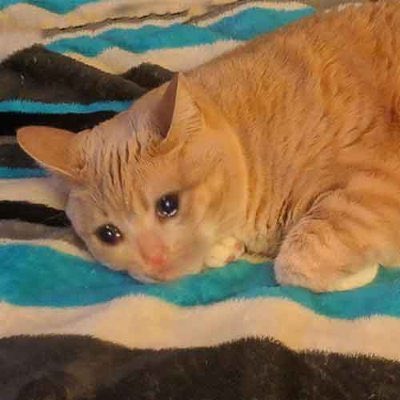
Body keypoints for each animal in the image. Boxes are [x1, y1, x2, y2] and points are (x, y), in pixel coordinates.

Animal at [17, 2, 400, 292]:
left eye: (168, 205)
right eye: (108, 234)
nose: (154, 262)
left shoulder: (373, 187)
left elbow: (295, 261)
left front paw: (364, 268)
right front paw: (223, 249)